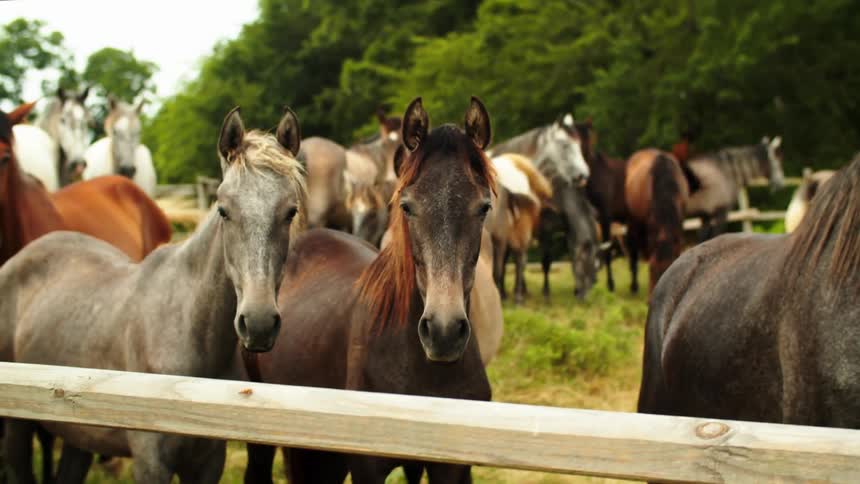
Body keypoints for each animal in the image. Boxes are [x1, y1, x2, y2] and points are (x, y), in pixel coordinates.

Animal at [0, 106, 306, 484]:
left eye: (290, 211)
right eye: (223, 210)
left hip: (78, 439)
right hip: (17, 429)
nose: (259, 323)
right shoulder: (150, 463)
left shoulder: (207, 463)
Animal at [576, 119, 629, 292]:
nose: (581, 174)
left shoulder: (606, 216)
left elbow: (606, 249)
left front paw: (610, 284)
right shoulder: (595, 219)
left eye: (589, 139)